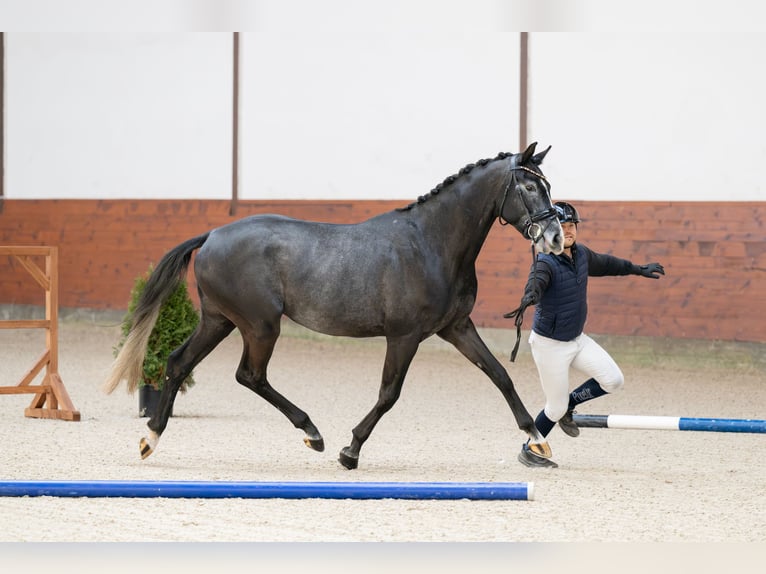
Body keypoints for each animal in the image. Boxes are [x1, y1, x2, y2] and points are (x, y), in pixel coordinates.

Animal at [103, 142, 564, 470]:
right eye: (528, 187)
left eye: (546, 185)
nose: (556, 237)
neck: (431, 243)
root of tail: (212, 234)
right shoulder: (404, 336)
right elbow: (389, 394)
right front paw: (350, 450)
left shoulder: (456, 327)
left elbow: (500, 375)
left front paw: (538, 442)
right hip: (260, 325)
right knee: (249, 375)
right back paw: (313, 434)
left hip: (220, 321)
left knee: (179, 363)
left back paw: (150, 439)